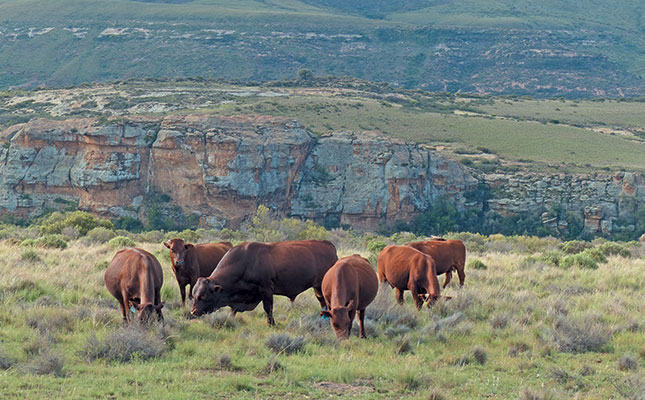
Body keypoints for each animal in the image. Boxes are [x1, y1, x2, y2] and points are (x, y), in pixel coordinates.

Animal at [190, 241, 338, 324]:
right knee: (323, 303)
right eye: (194, 294)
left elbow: (268, 308)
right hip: (317, 288)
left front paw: (271, 323)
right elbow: (233, 309)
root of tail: (328, 244)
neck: (246, 262)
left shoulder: (266, 289)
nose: (193, 312)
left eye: (203, 296)